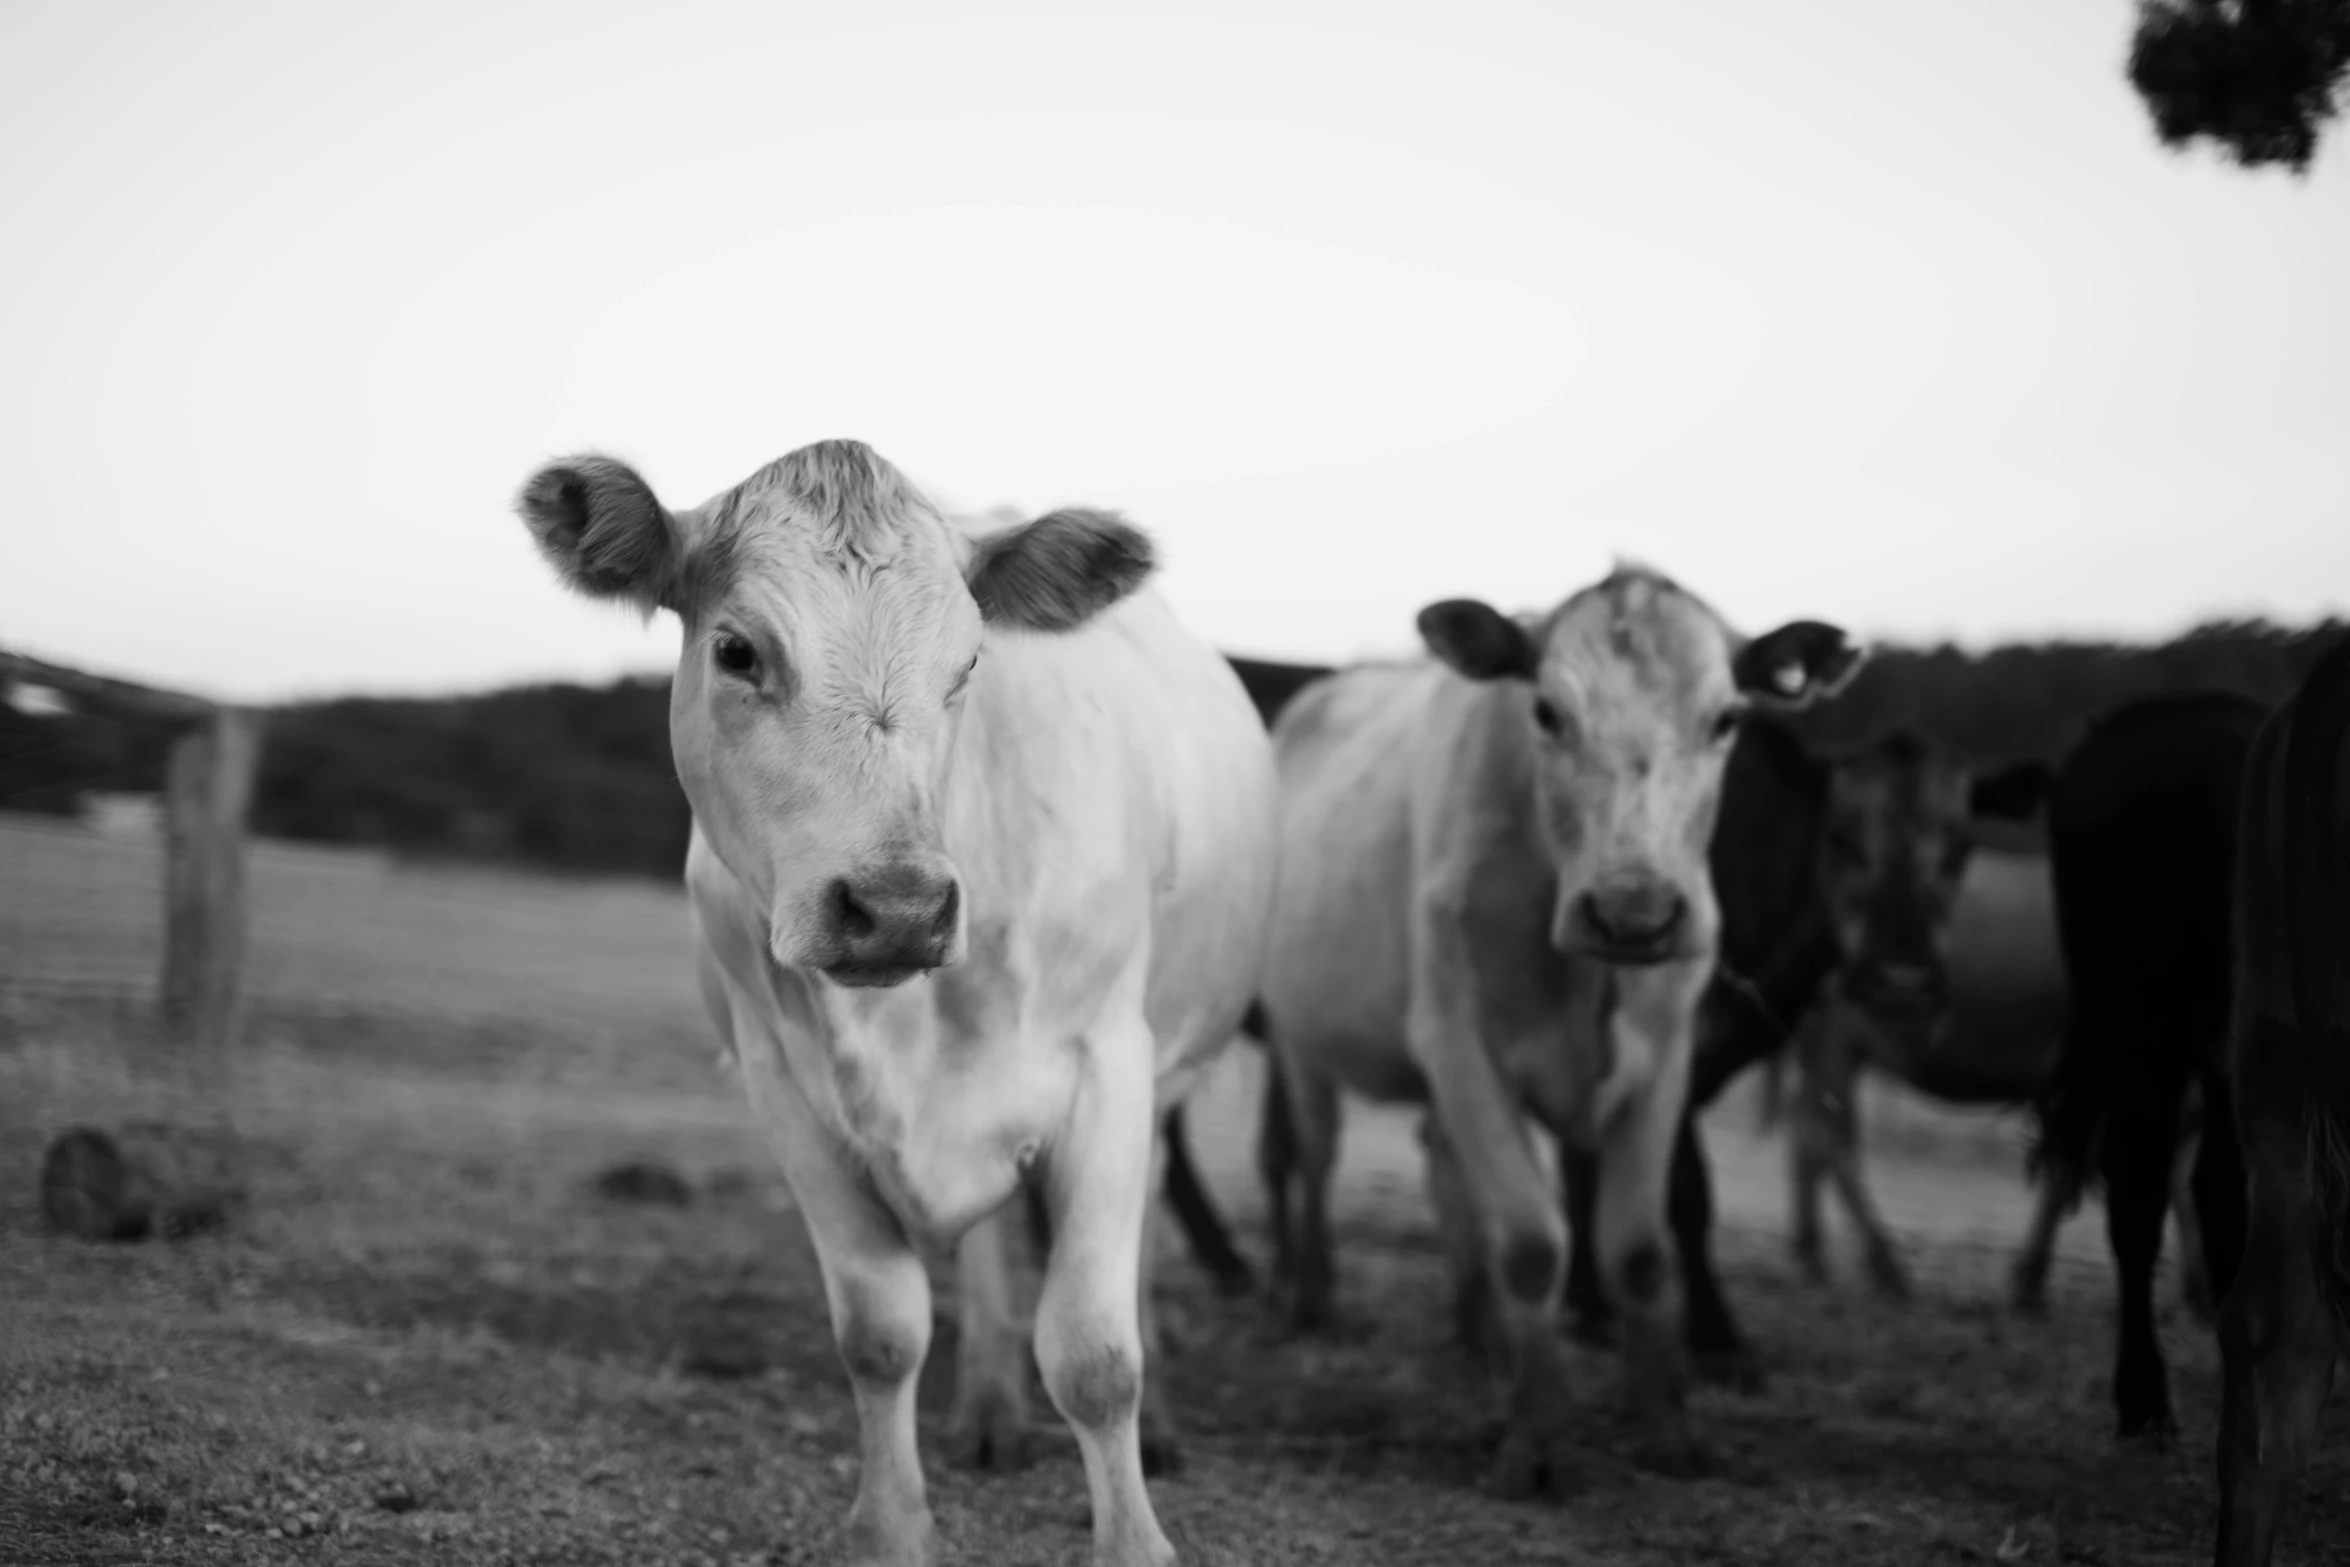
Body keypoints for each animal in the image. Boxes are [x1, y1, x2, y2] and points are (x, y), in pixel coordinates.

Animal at [509, 439, 1269, 1567]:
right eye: (737, 650)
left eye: (969, 666)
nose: (898, 909)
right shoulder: (780, 1086)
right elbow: (880, 1330)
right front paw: (890, 1528)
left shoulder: (1108, 1069)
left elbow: (1095, 1354)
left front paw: (1134, 1539)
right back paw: (990, 1408)